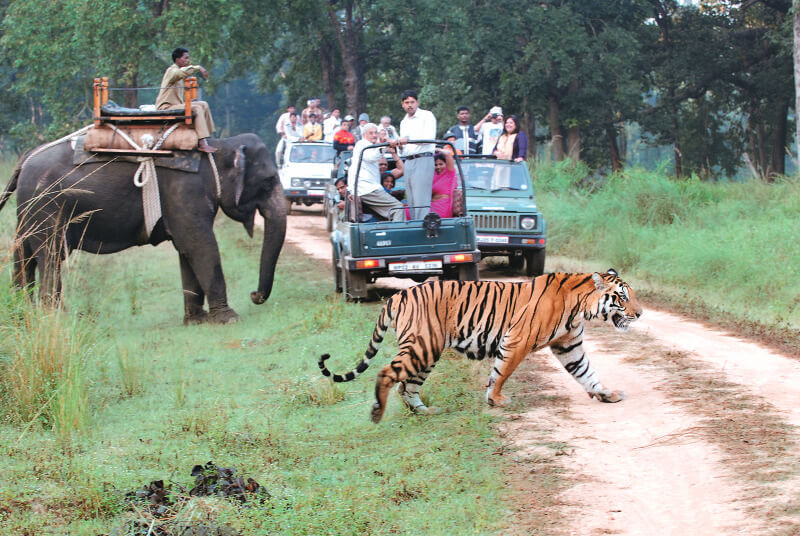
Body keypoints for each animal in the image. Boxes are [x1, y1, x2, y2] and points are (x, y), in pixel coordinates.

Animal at [0, 132, 288, 324]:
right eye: (268, 180)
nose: (254, 295)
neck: (218, 146)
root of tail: (26, 158)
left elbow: (186, 250)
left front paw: (197, 320)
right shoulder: (186, 190)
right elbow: (200, 244)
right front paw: (229, 319)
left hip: (28, 210)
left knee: (24, 256)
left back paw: (24, 313)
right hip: (48, 206)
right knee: (51, 255)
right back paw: (58, 319)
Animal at [318, 270, 644, 426]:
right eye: (622, 297)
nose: (640, 314)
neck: (580, 307)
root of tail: (398, 295)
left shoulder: (569, 346)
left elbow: (587, 373)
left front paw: (606, 394)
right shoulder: (517, 340)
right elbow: (502, 371)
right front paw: (496, 399)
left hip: (427, 351)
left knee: (406, 386)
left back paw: (425, 412)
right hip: (423, 347)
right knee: (387, 374)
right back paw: (377, 412)